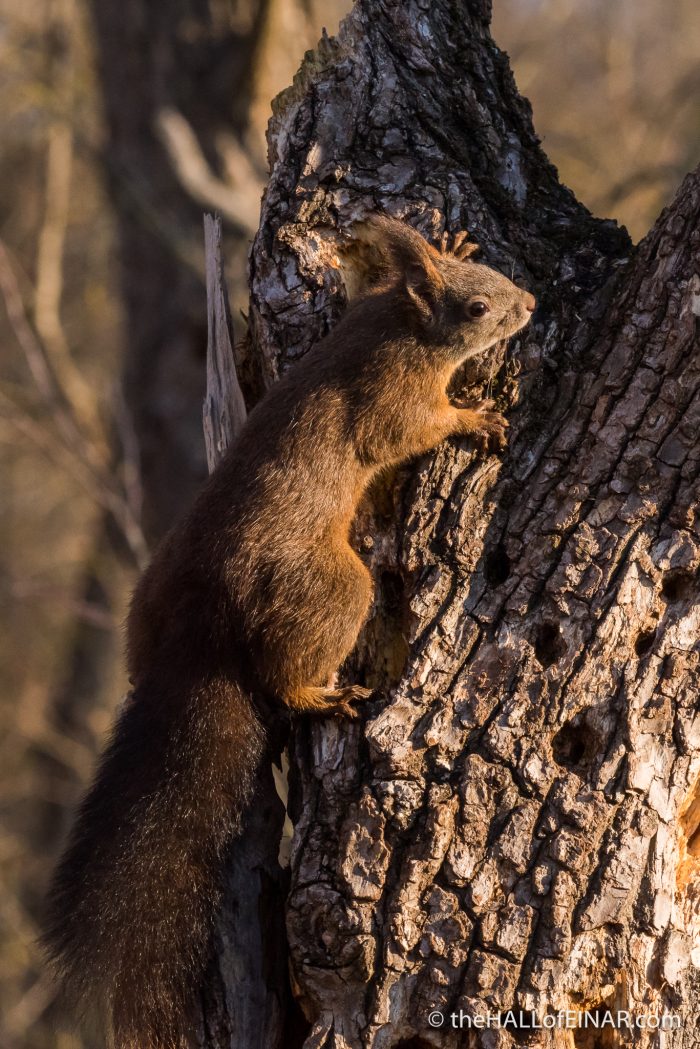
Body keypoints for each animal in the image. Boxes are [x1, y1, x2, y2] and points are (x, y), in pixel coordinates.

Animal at [43, 215, 535, 1048]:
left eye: (491, 274)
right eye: (476, 307)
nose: (529, 304)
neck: (398, 325)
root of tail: (199, 636)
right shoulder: (389, 396)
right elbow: (411, 430)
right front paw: (476, 417)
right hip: (333, 587)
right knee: (286, 671)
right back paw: (321, 695)